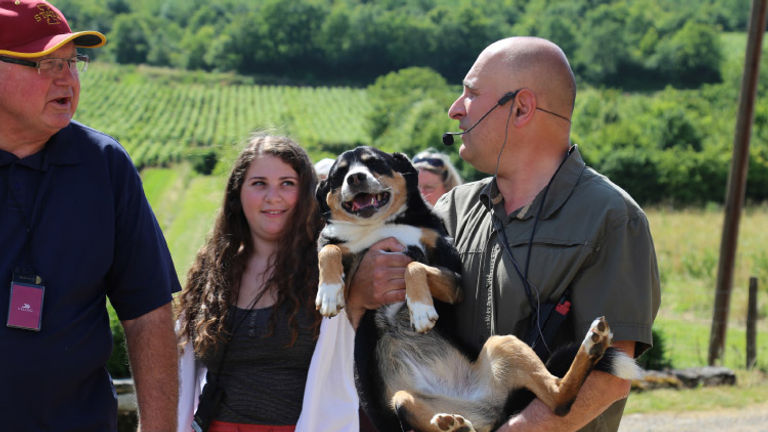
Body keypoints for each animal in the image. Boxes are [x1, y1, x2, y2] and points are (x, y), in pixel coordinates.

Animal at [316, 147, 640, 430]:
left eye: (376, 164)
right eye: (339, 174)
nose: (356, 178)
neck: (380, 226)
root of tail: (488, 410)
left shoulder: (452, 279)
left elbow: (413, 266)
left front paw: (420, 310)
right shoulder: (353, 263)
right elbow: (328, 250)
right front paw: (328, 293)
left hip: (503, 344)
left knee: (560, 398)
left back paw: (592, 344)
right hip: (405, 401)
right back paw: (457, 426)